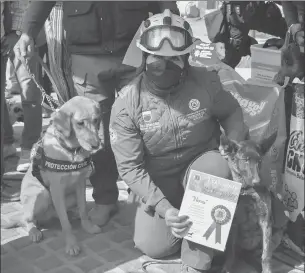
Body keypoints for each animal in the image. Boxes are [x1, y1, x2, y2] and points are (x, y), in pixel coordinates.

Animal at [2, 95, 102, 255]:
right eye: (80, 123)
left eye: (96, 120)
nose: (96, 145)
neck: (70, 151)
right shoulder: (56, 190)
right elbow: (65, 224)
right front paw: (71, 244)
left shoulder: (80, 184)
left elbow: (84, 209)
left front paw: (87, 226)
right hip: (41, 195)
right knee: (27, 219)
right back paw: (34, 232)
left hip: (70, 197)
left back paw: (73, 214)